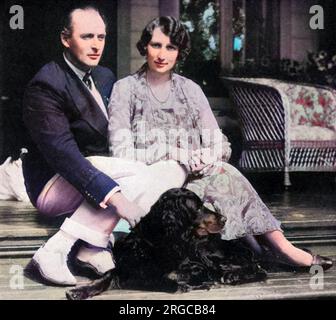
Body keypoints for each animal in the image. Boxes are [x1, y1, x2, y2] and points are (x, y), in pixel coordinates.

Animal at [66, 188, 268, 300]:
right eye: (198, 208)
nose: (224, 219)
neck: (157, 243)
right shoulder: (127, 267)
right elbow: (106, 277)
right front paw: (80, 291)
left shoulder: (196, 266)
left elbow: (172, 279)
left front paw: (194, 284)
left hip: (211, 254)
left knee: (258, 269)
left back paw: (233, 276)